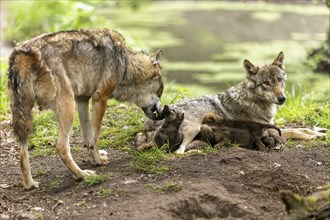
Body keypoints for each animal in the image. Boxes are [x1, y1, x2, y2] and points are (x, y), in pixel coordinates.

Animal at [8, 28, 165, 189]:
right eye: (161, 90)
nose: (163, 112)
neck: (126, 64)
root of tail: (22, 54)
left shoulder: (82, 99)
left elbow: (88, 137)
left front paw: (93, 158)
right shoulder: (100, 98)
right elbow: (95, 137)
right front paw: (98, 161)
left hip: (26, 118)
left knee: (22, 152)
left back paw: (30, 184)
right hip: (68, 109)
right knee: (61, 146)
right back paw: (82, 175)